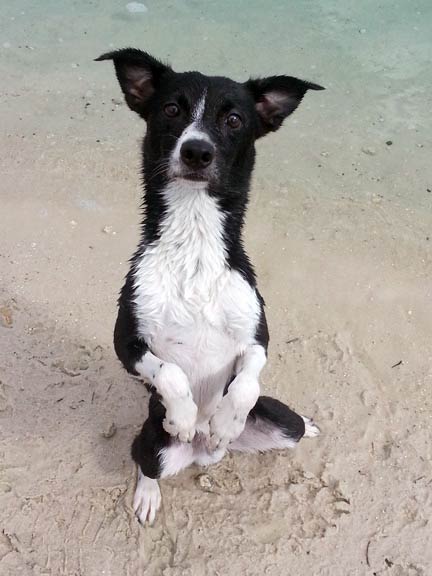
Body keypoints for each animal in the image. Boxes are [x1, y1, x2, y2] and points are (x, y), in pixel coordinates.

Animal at [95, 49, 324, 524]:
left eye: (234, 119)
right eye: (171, 109)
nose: (197, 150)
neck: (195, 245)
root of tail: (205, 456)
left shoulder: (257, 337)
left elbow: (247, 379)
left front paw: (226, 420)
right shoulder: (127, 342)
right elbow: (170, 371)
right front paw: (183, 415)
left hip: (282, 421)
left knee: (288, 423)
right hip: (155, 443)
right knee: (145, 461)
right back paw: (152, 488)